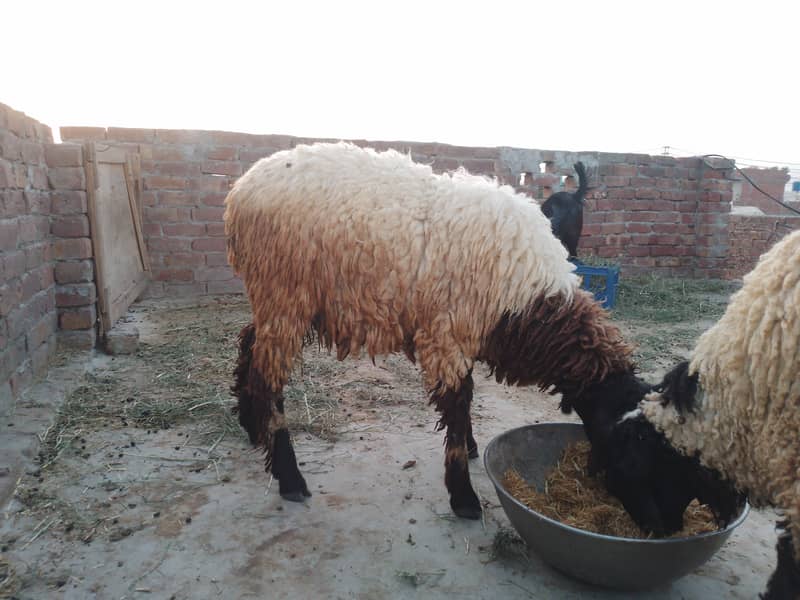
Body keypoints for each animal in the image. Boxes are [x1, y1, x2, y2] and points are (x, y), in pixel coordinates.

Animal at [224, 141, 652, 520]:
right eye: (632, 448)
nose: (655, 524)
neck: (528, 300)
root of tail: (240, 191)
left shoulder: (465, 332)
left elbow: (465, 399)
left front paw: (473, 449)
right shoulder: (448, 334)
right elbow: (458, 405)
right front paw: (464, 496)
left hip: (276, 299)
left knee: (249, 344)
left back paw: (251, 426)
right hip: (283, 290)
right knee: (269, 377)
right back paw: (289, 477)